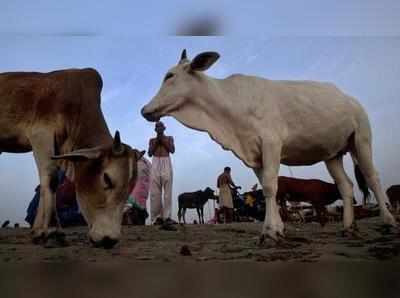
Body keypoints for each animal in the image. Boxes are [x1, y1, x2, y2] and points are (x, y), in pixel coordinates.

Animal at [0, 68, 145, 248]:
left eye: (130, 189)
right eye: (106, 178)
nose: (109, 240)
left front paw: (43, 231)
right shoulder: (40, 135)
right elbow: (50, 181)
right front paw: (49, 231)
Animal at [141, 49, 396, 242]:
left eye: (170, 75)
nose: (144, 110)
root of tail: (350, 99)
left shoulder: (272, 143)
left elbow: (271, 187)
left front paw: (271, 232)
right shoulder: (254, 154)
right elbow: (265, 187)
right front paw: (275, 228)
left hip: (361, 139)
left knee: (372, 177)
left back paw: (388, 221)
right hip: (331, 154)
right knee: (346, 185)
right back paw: (348, 227)